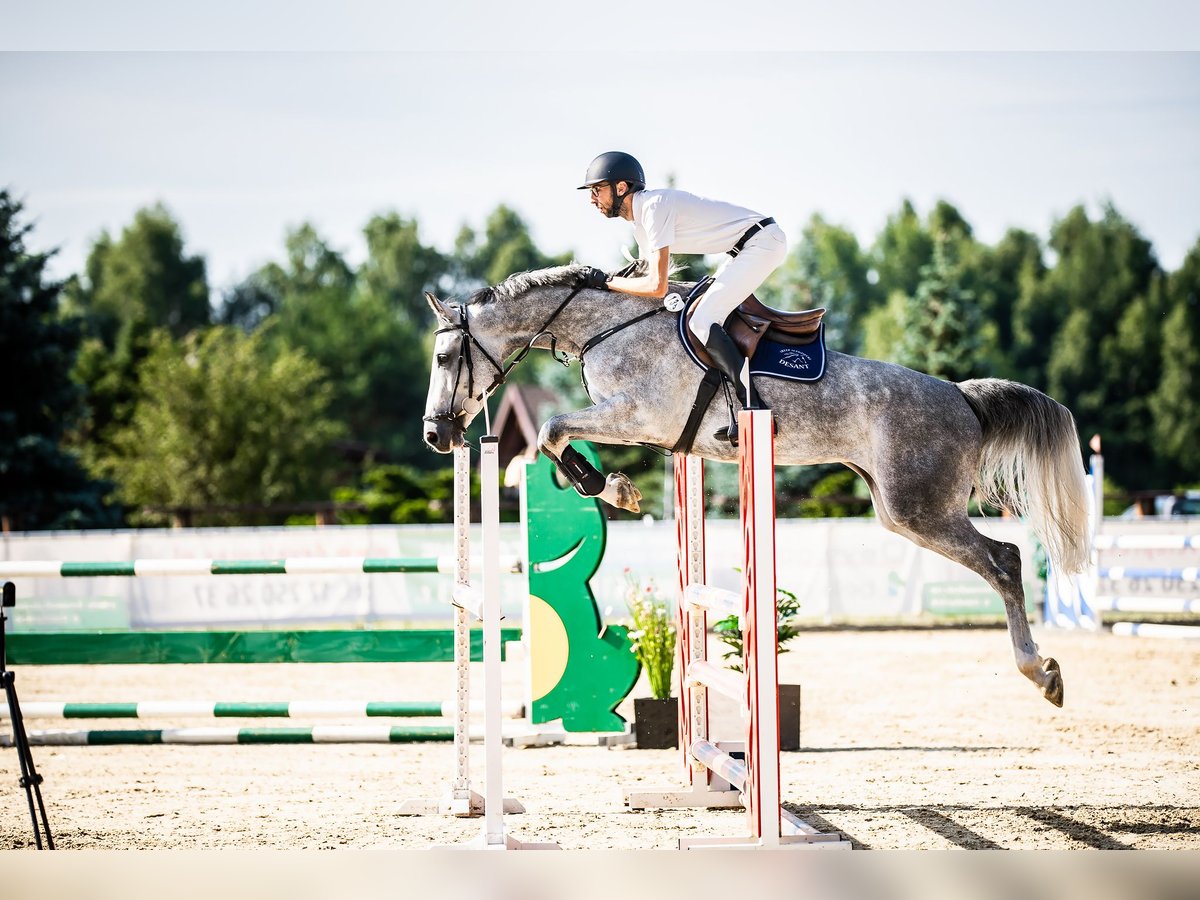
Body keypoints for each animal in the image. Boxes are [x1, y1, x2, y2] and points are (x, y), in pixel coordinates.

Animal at [427, 264, 1094, 710]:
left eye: (443, 360)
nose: (437, 434)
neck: (606, 327)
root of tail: (961, 395)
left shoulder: (640, 416)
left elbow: (550, 429)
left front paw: (615, 489)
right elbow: (556, 433)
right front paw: (616, 486)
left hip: (919, 508)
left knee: (1005, 560)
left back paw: (1043, 673)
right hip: (896, 508)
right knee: (1000, 559)